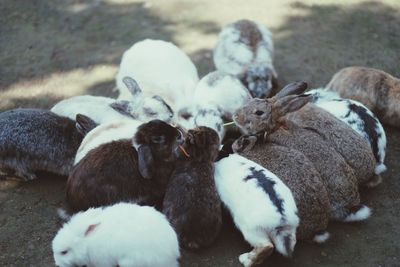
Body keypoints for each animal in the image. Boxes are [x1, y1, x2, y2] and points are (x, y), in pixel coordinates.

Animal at [52, 203, 180, 267]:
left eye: (64, 252)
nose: (57, 264)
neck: (86, 243)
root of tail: (172, 256)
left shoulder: (102, 262)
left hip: (129, 262)